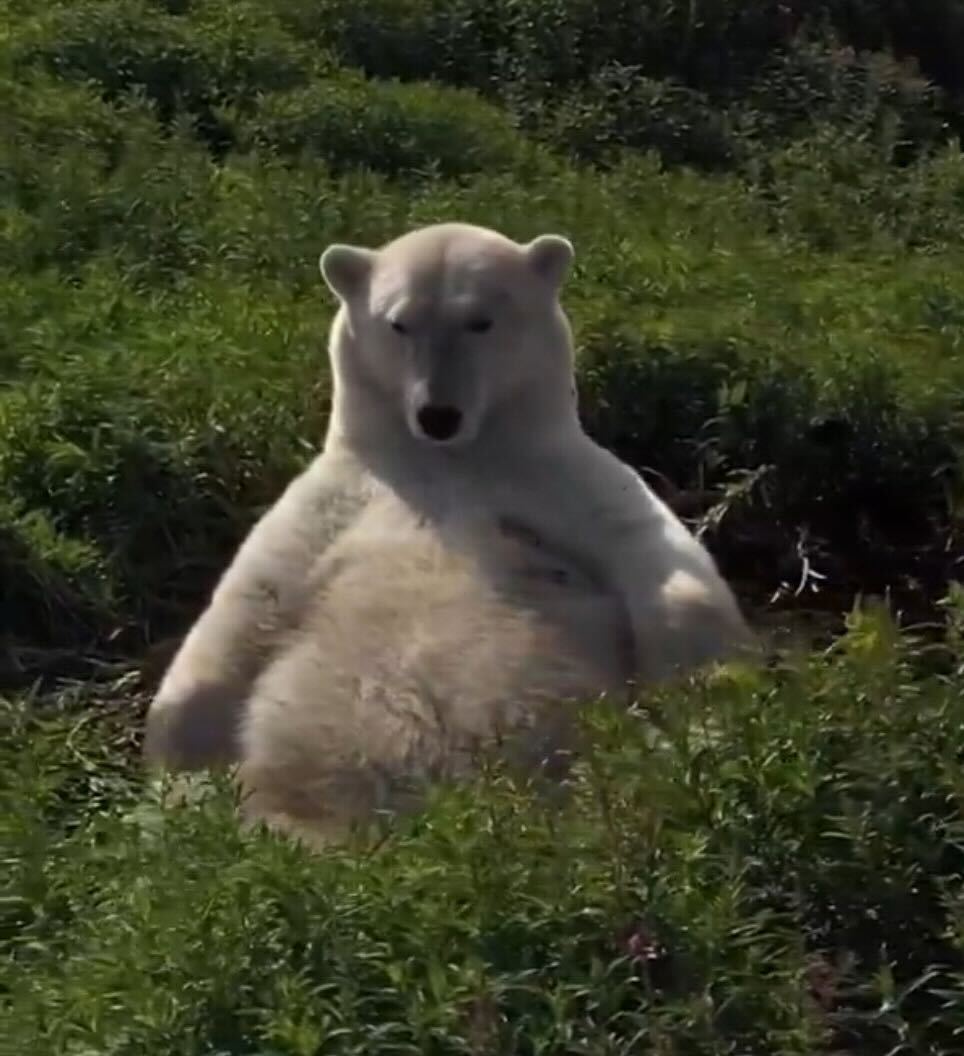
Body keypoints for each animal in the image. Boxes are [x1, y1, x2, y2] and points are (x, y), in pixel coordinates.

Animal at [144, 221, 754, 846]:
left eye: (480, 320)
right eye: (399, 322)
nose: (439, 414)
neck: (453, 459)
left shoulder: (555, 480)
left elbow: (661, 562)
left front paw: (703, 715)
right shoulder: (341, 496)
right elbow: (254, 593)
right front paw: (178, 760)